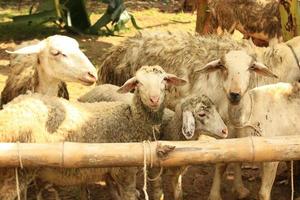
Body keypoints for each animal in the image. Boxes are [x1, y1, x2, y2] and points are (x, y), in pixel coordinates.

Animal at [0, 65, 186, 200]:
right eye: (138, 83)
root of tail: (9, 111)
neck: (131, 119)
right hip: (17, 171)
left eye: (164, 80)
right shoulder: (124, 172)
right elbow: (129, 195)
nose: (154, 99)